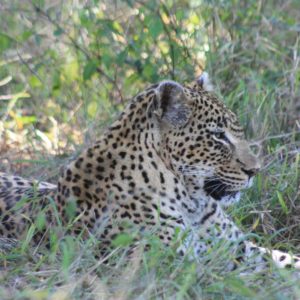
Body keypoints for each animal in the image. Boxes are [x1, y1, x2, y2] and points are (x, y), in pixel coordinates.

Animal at [0, 73, 300, 272]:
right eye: (217, 136)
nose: (255, 170)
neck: (193, 203)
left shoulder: (238, 247)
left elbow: (287, 261)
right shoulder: (168, 262)